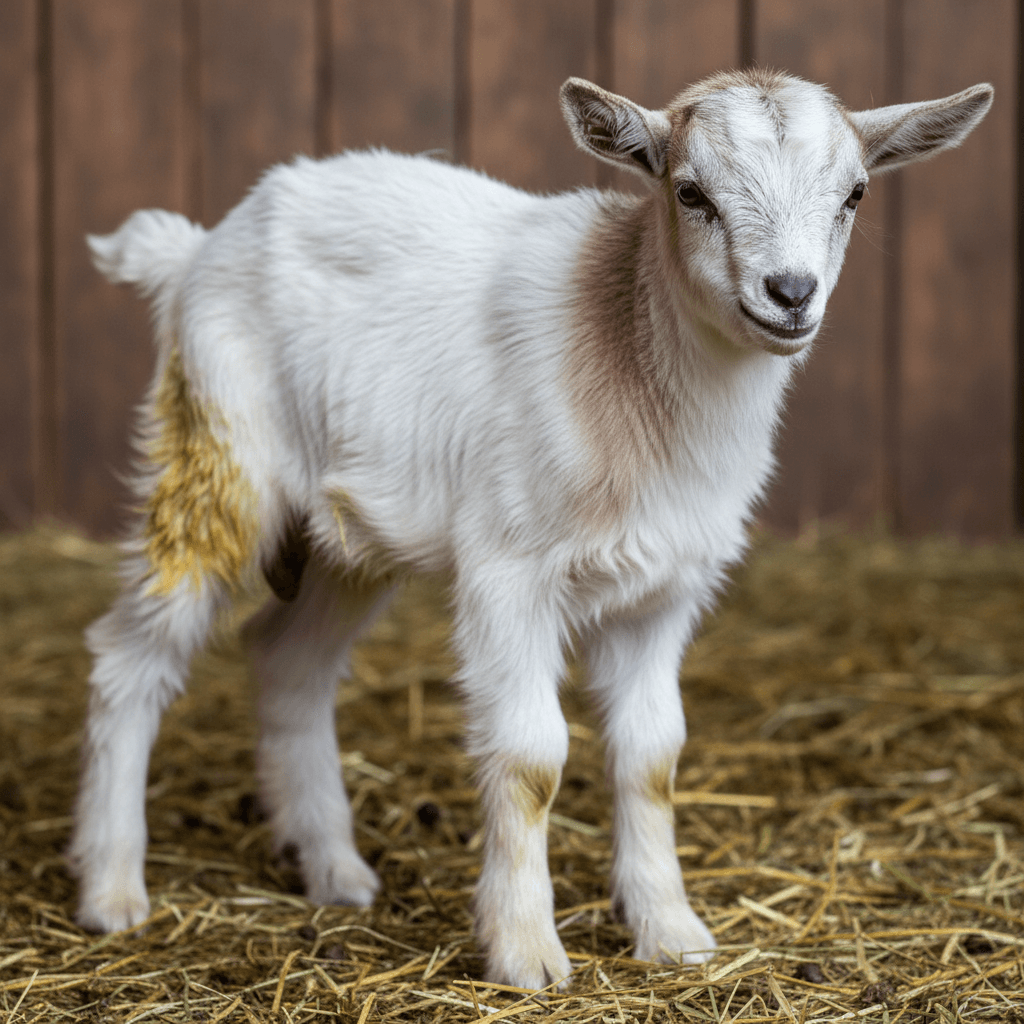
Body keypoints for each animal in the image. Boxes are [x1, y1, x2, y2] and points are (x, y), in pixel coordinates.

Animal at [70, 68, 992, 989]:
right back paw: (112, 889)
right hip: (218, 459)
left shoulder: (664, 590)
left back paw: (334, 870)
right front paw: (525, 951)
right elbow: (531, 759)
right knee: (131, 657)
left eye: (856, 193)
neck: (627, 353)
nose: (791, 293)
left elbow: (653, 756)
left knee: (288, 660)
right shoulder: (509, 573)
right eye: (690, 193)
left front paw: (673, 933)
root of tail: (193, 254)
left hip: (348, 534)